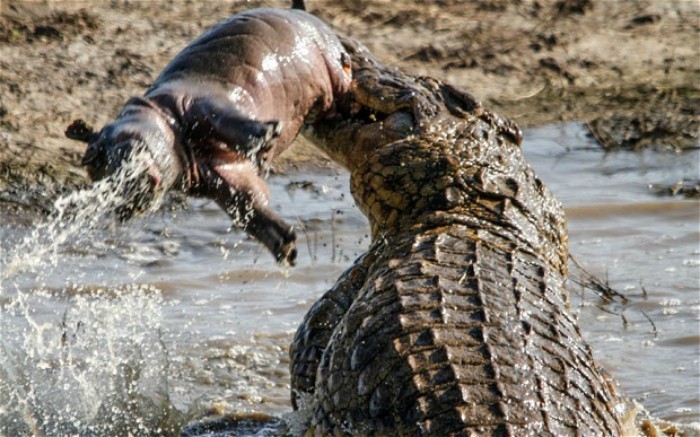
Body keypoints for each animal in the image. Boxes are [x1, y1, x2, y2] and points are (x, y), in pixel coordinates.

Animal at [67, 6, 350, 264]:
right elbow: (248, 204)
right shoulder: (215, 176)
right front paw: (286, 246)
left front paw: (266, 138)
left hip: (330, 61)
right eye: (92, 167)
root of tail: (299, 10)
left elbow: (224, 119)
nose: (120, 203)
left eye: (95, 153)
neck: (160, 116)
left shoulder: (196, 101)